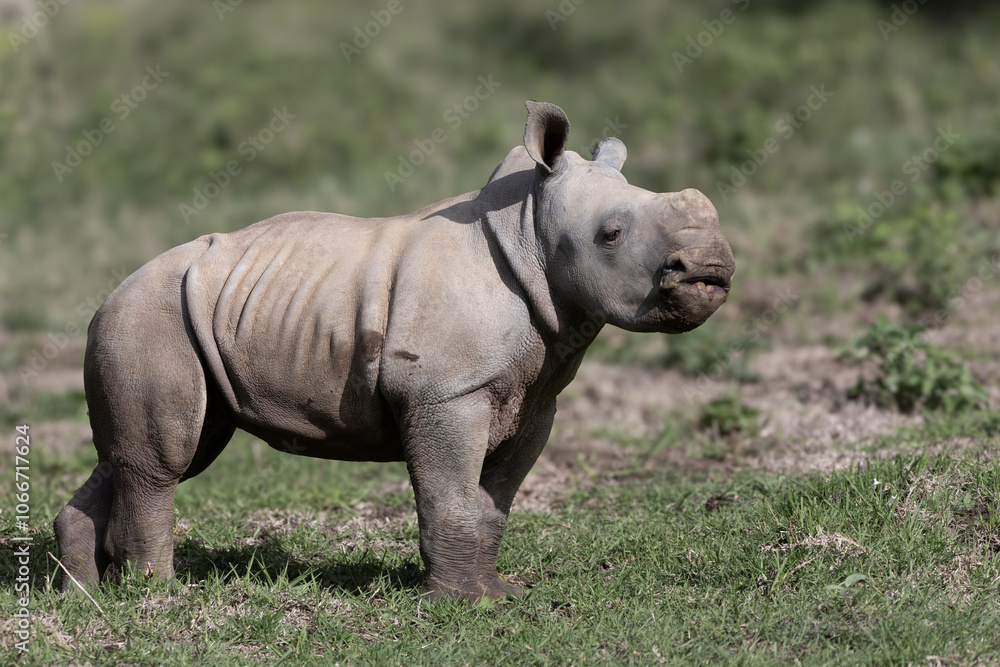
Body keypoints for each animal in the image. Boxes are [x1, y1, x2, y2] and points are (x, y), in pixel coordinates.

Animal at [55, 101, 735, 600]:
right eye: (611, 235)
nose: (713, 268)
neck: (530, 233)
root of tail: (105, 297)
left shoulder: (532, 398)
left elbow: (494, 500)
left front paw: (499, 593)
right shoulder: (446, 393)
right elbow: (452, 496)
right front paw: (463, 605)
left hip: (166, 318)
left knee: (144, 454)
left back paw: (85, 597)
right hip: (149, 317)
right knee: (166, 461)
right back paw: (157, 596)